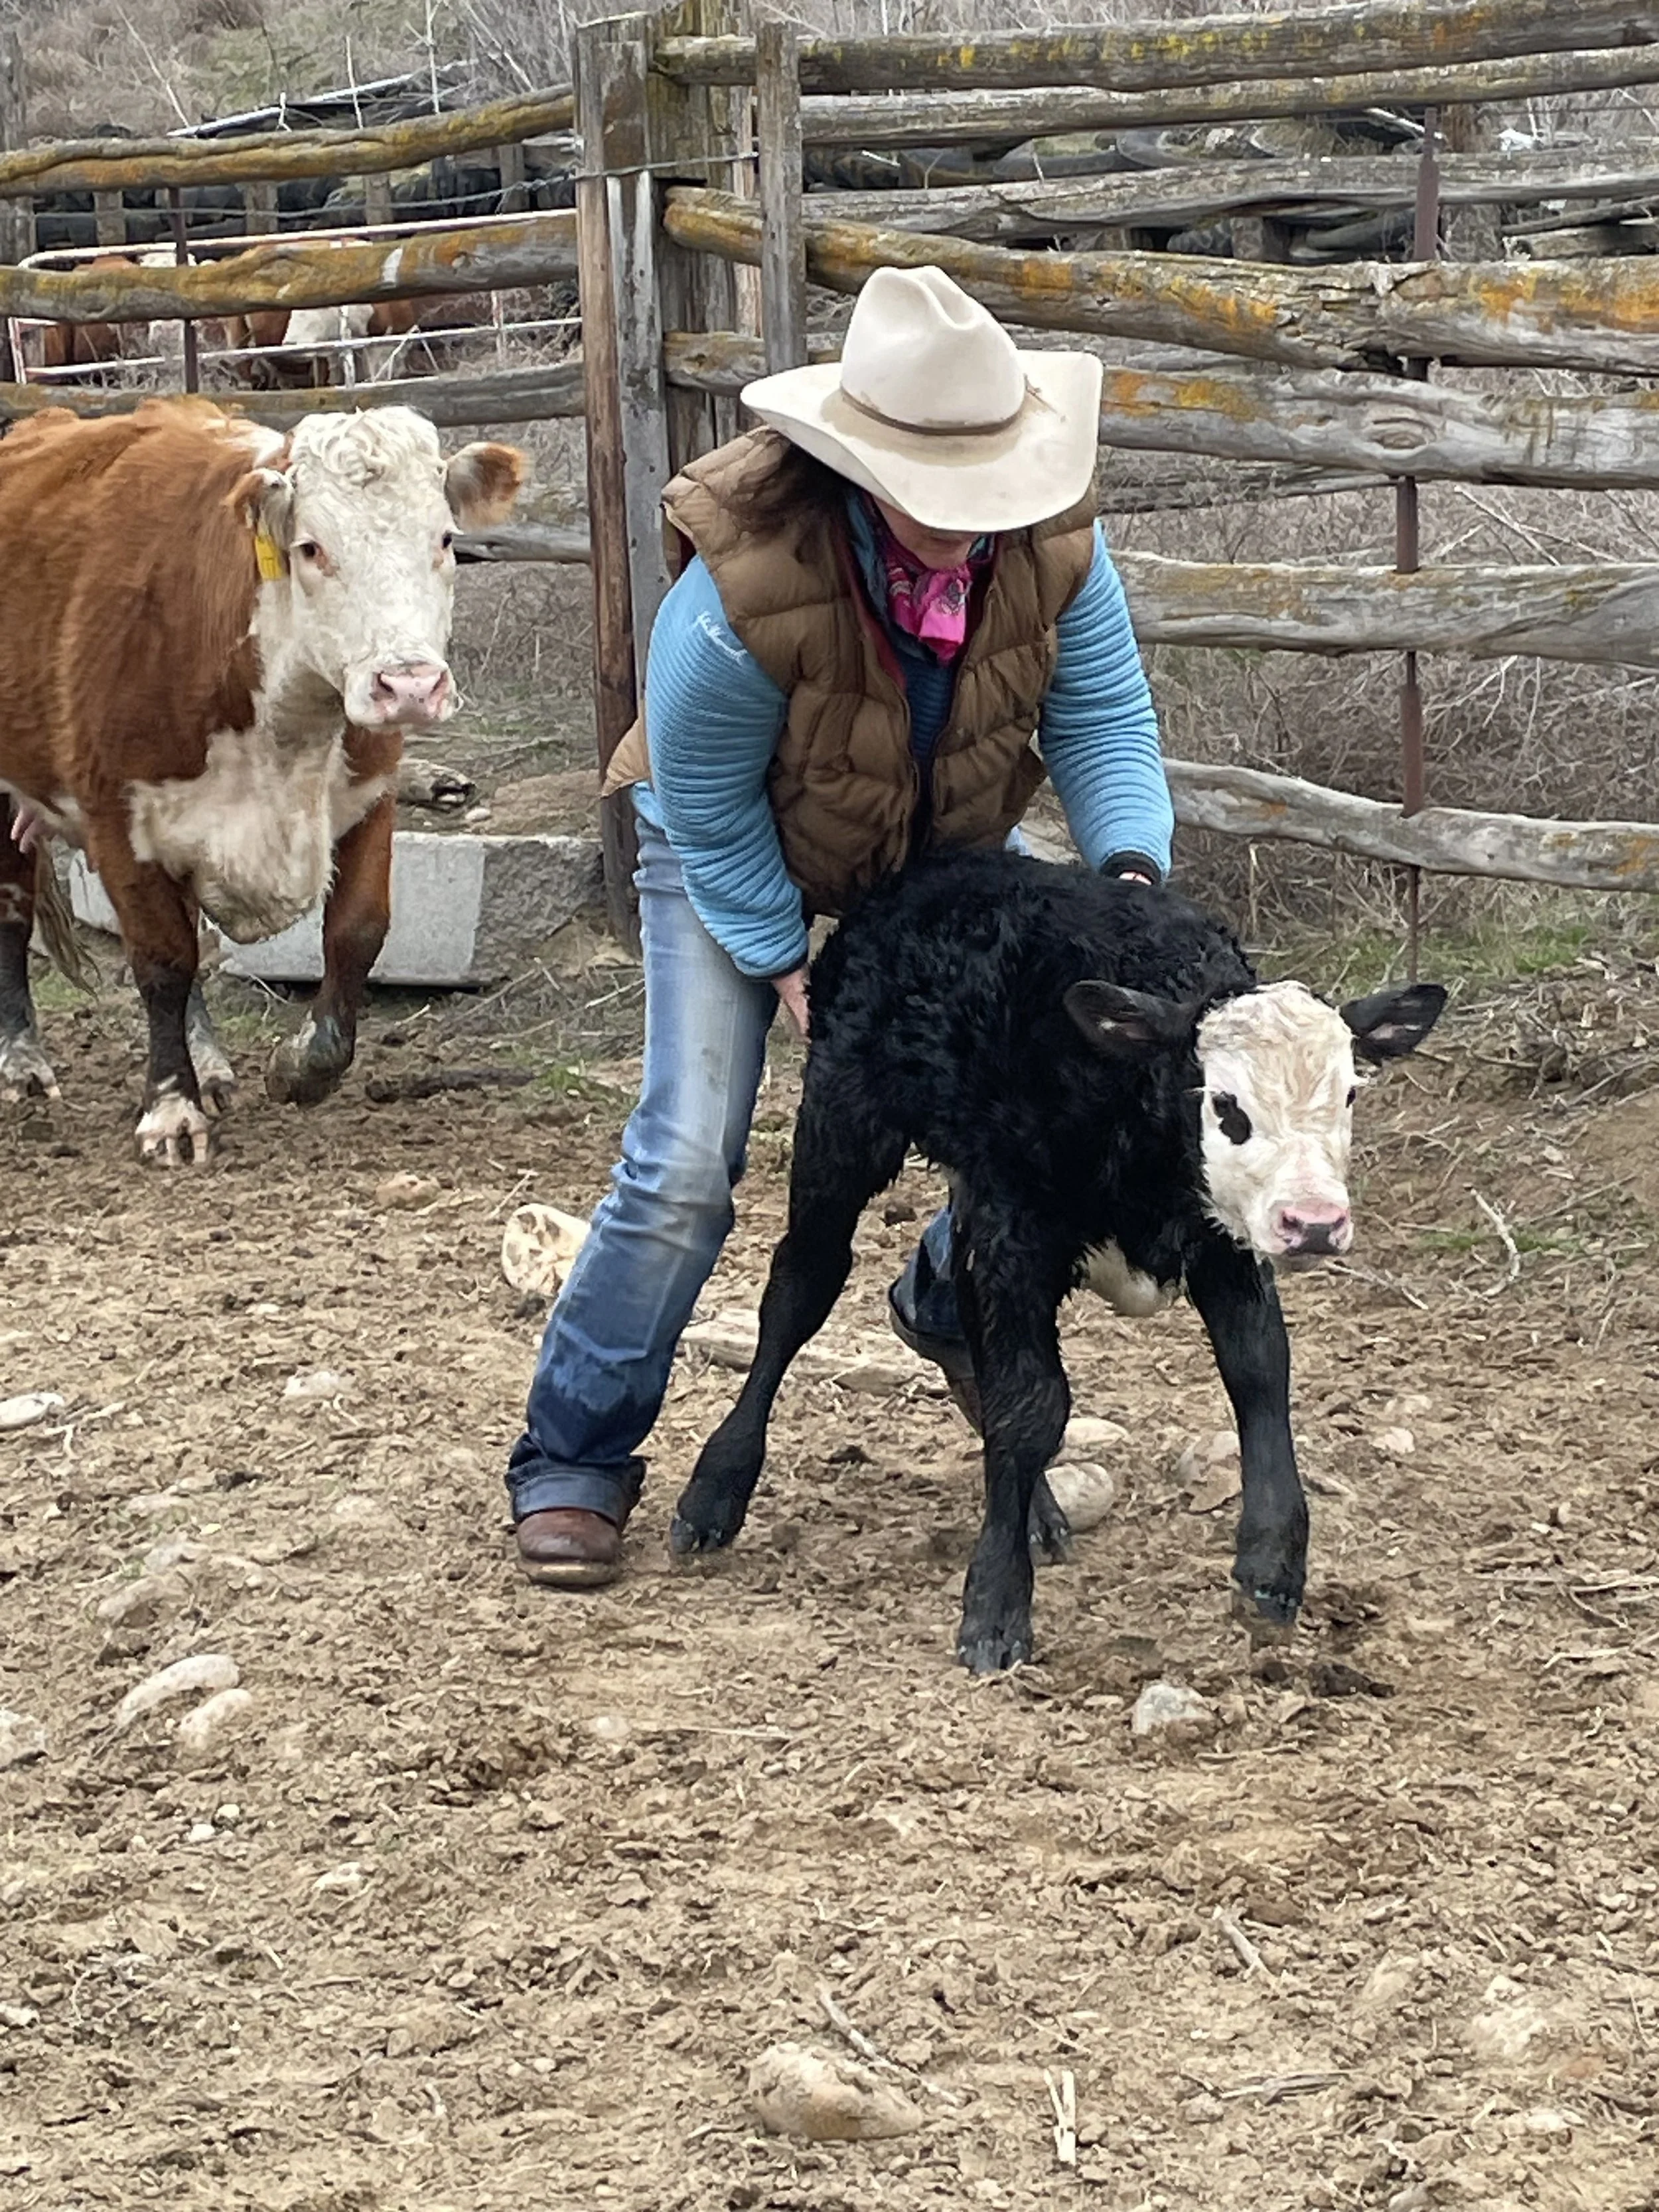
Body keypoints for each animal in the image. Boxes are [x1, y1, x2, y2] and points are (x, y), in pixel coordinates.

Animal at [0, 398, 524, 1163]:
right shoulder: (119, 820)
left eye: (446, 537)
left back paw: (211, 1061)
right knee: (12, 909)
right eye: (311, 548)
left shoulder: (367, 795)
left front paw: (302, 1065)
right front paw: (171, 1110)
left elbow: (358, 933)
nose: (408, 686)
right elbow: (160, 961)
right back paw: (23, 1062)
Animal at [669, 850, 1445, 1674]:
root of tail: (925, 876)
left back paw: (1036, 1511)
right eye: (1227, 1106)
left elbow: (1259, 1371)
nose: (1314, 1225)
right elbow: (1033, 1404)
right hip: (843, 1123)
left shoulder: (1216, 1237)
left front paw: (1271, 1566)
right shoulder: (1020, 1225)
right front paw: (995, 1606)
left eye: (1350, 1094)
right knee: (800, 1287)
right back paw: (714, 1492)